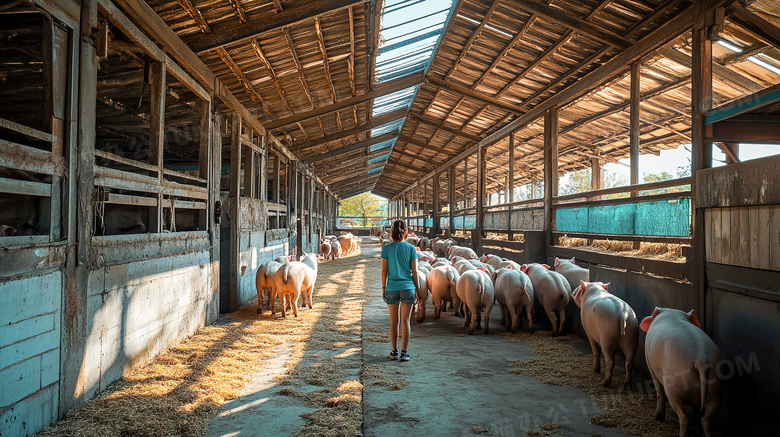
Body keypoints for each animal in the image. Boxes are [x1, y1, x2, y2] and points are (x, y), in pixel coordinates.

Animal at [640, 306, 724, 436]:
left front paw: (658, 418)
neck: (672, 314)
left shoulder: (649, 364)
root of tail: (700, 360)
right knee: (706, 419)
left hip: (675, 389)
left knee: (684, 417)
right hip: (715, 389)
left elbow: (659, 390)